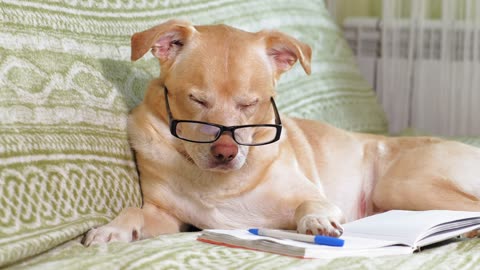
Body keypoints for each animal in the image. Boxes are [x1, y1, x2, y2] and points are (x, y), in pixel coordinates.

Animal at [83, 20, 480, 246]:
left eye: (251, 104)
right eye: (197, 100)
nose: (225, 153)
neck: (217, 182)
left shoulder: (310, 194)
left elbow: (310, 204)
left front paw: (316, 221)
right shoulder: (165, 216)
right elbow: (135, 212)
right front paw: (113, 230)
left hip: (401, 184)